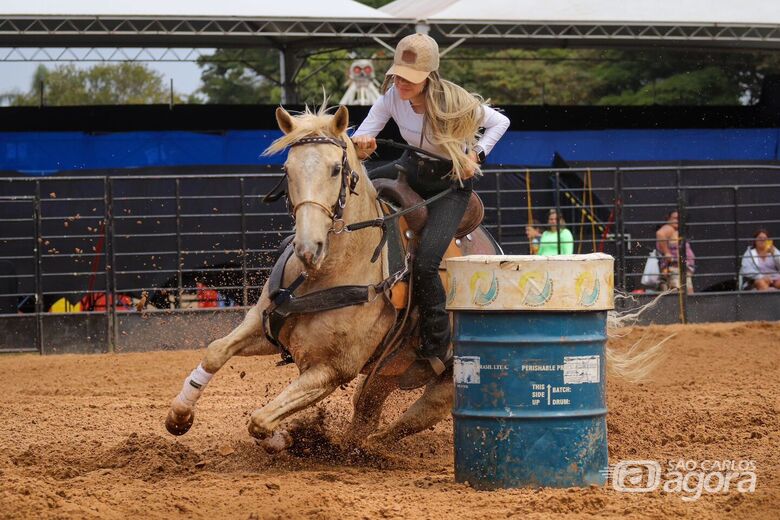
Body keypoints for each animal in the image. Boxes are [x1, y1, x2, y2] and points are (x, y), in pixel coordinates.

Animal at [166, 103, 500, 448]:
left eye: (335, 169)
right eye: (287, 169)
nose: (308, 247)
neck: (327, 273)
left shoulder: (332, 370)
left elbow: (260, 421)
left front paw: (286, 438)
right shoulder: (263, 325)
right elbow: (216, 351)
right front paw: (179, 416)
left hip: (444, 382)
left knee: (405, 423)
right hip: (387, 372)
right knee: (365, 411)